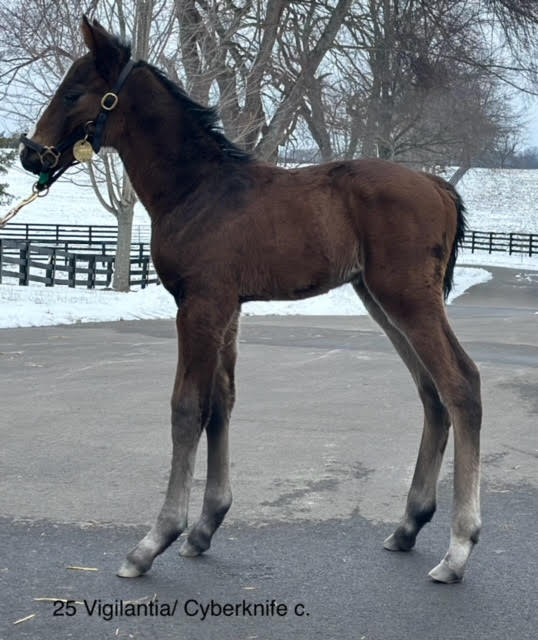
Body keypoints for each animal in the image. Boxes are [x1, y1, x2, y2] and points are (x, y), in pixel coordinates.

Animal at [20, 17, 481, 584]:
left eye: (73, 92)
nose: (30, 154)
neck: (196, 189)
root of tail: (439, 186)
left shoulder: (199, 305)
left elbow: (186, 409)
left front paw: (153, 541)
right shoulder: (228, 308)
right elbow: (221, 404)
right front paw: (203, 528)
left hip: (408, 298)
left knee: (461, 384)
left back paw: (457, 550)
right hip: (379, 299)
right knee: (430, 392)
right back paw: (408, 525)